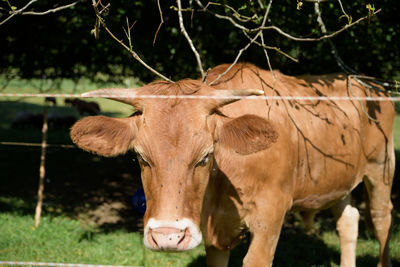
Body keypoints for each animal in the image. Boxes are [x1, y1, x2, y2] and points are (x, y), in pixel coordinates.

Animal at [71, 63, 394, 266]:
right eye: (139, 156)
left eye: (205, 156)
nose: (168, 237)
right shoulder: (214, 236)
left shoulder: (270, 218)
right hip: (339, 182)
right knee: (348, 221)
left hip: (380, 169)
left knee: (381, 220)